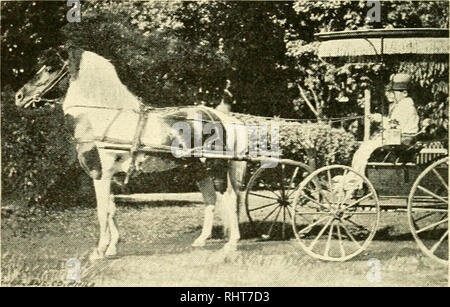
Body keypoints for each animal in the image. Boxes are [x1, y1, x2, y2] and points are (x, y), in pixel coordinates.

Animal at [14, 47, 246, 262]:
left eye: (50, 67)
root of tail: (218, 116)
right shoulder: (108, 176)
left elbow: (102, 211)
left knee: (230, 197)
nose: (19, 96)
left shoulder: (101, 174)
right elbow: (111, 210)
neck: (102, 118)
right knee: (210, 199)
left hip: (215, 166)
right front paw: (112, 247)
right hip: (198, 169)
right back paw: (201, 240)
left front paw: (98, 251)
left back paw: (231, 244)